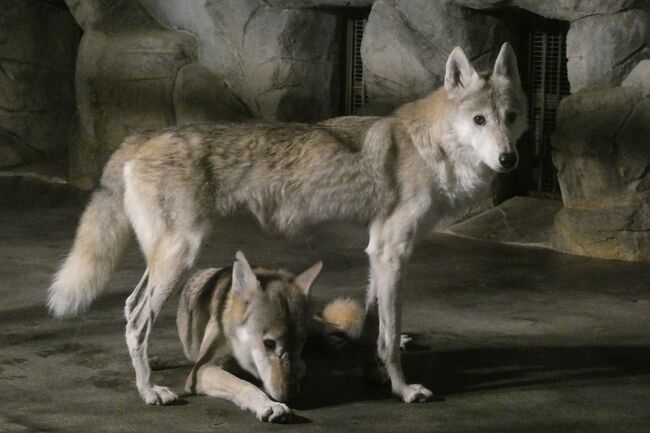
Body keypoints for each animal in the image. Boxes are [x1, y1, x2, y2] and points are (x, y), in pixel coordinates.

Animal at [49, 42, 528, 404]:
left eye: (511, 118)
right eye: (479, 120)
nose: (509, 159)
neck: (430, 147)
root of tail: (141, 137)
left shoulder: (378, 254)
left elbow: (374, 325)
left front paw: (374, 377)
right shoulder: (393, 253)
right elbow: (391, 337)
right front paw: (403, 390)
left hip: (165, 261)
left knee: (130, 309)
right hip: (179, 258)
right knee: (136, 321)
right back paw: (149, 391)